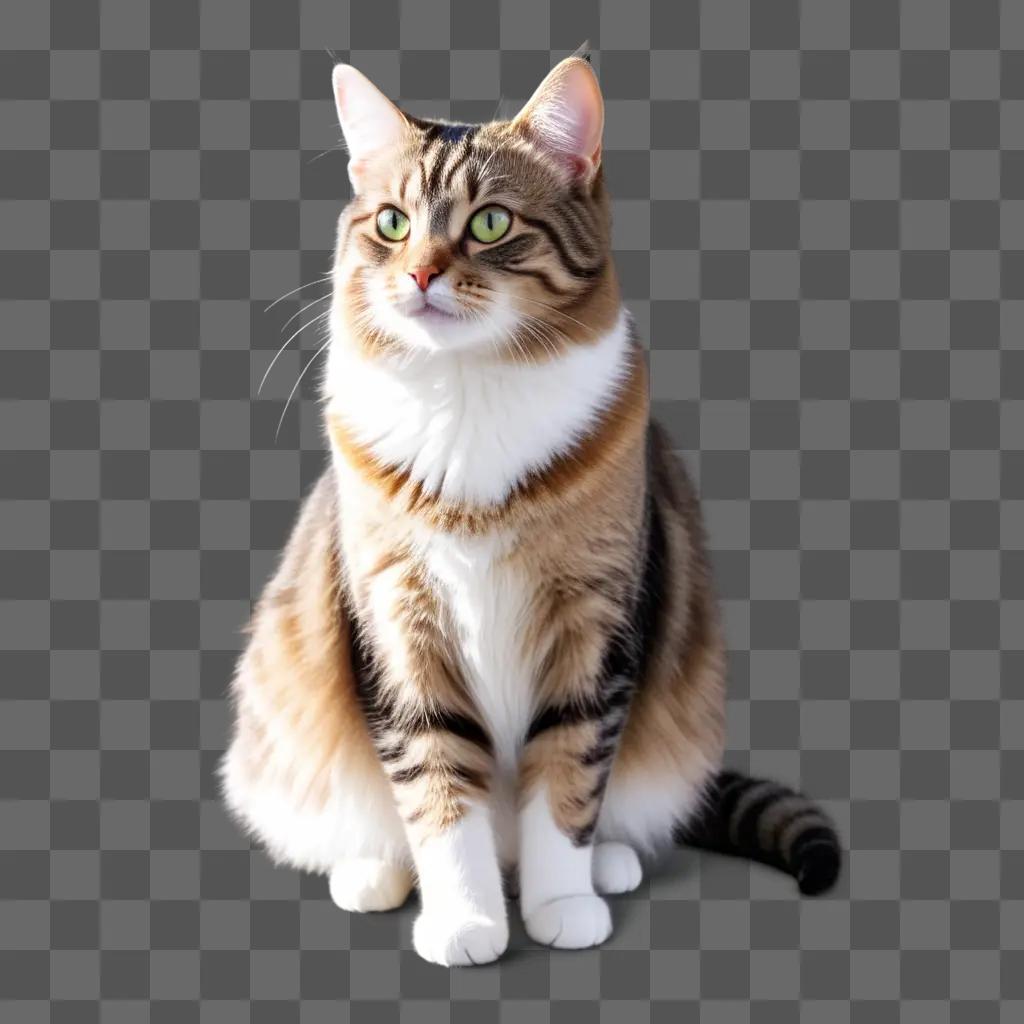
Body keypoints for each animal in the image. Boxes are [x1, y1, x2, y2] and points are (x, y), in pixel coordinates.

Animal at [224, 56, 839, 966]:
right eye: (393, 224)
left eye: (488, 223)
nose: (420, 275)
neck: (469, 395)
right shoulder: (399, 627)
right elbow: (439, 790)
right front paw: (466, 920)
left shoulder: (594, 624)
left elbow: (568, 781)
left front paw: (562, 904)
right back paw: (373, 873)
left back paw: (607, 865)